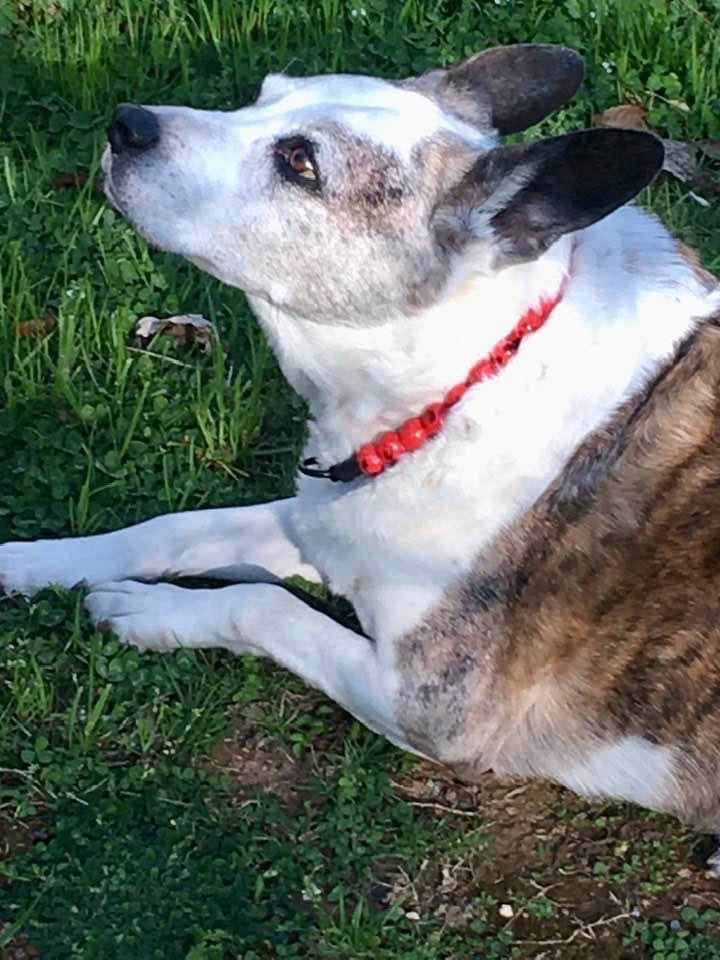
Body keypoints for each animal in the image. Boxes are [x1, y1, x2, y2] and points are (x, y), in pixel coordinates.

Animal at [1, 47, 720, 864]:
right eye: (263, 97)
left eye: (300, 162)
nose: (127, 123)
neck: (464, 380)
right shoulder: (328, 525)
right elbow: (174, 529)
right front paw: (33, 561)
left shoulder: (432, 705)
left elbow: (260, 605)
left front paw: (148, 610)